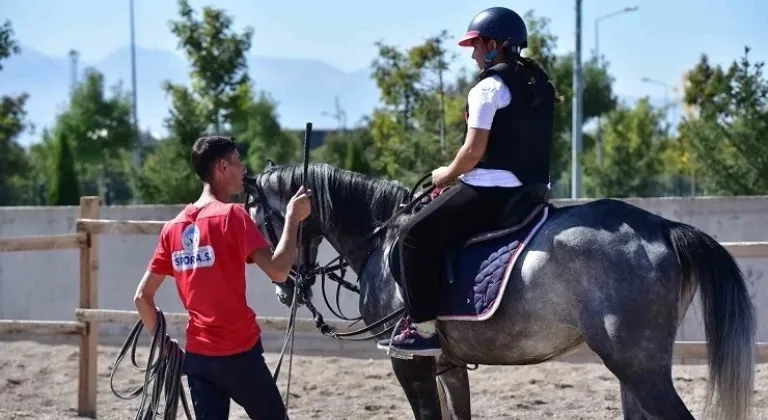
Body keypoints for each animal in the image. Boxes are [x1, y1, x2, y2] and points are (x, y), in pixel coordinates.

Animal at [244, 162, 756, 420]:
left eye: (258, 218)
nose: (285, 290)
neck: (382, 238)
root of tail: (664, 227)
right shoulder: (447, 364)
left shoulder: (407, 362)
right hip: (633, 372)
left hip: (638, 367)